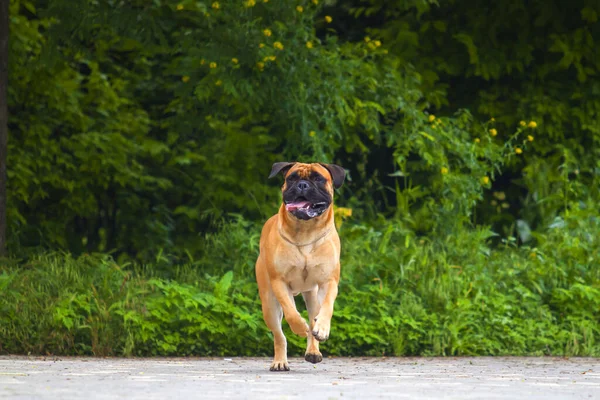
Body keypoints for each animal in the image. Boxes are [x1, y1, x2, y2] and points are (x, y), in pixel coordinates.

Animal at [254, 161, 346, 370]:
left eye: (318, 178)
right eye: (292, 178)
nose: (302, 185)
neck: (306, 230)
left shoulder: (329, 282)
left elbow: (327, 308)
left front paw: (322, 328)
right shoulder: (279, 282)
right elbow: (291, 312)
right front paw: (299, 327)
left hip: (312, 296)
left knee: (314, 317)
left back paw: (313, 350)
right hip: (269, 304)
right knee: (279, 335)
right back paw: (280, 361)